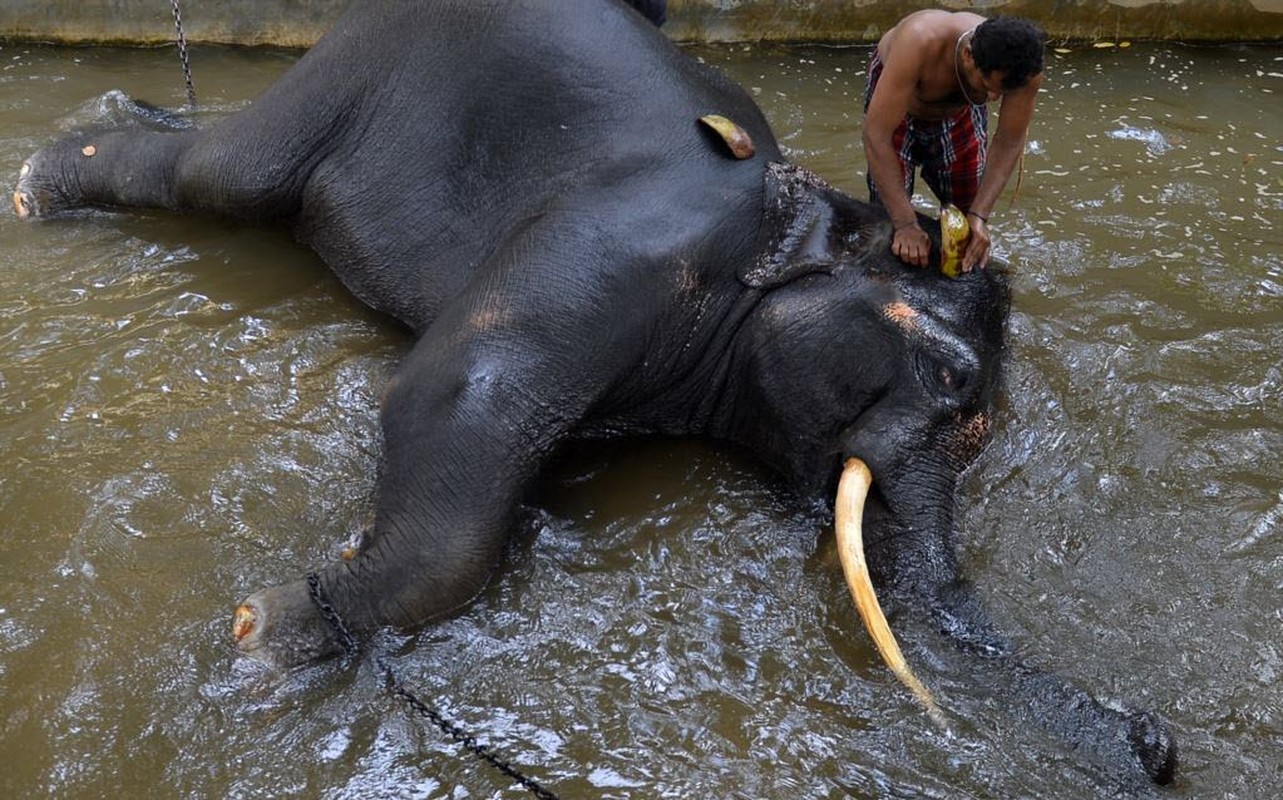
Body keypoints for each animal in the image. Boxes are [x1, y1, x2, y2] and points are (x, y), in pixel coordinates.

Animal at [10, 0, 1175, 789]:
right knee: (222, 175)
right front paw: (273, 629)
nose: (1158, 742)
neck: (792, 216)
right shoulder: (618, 248)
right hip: (355, 68)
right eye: (951, 378)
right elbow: (458, 383)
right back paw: (40, 183)